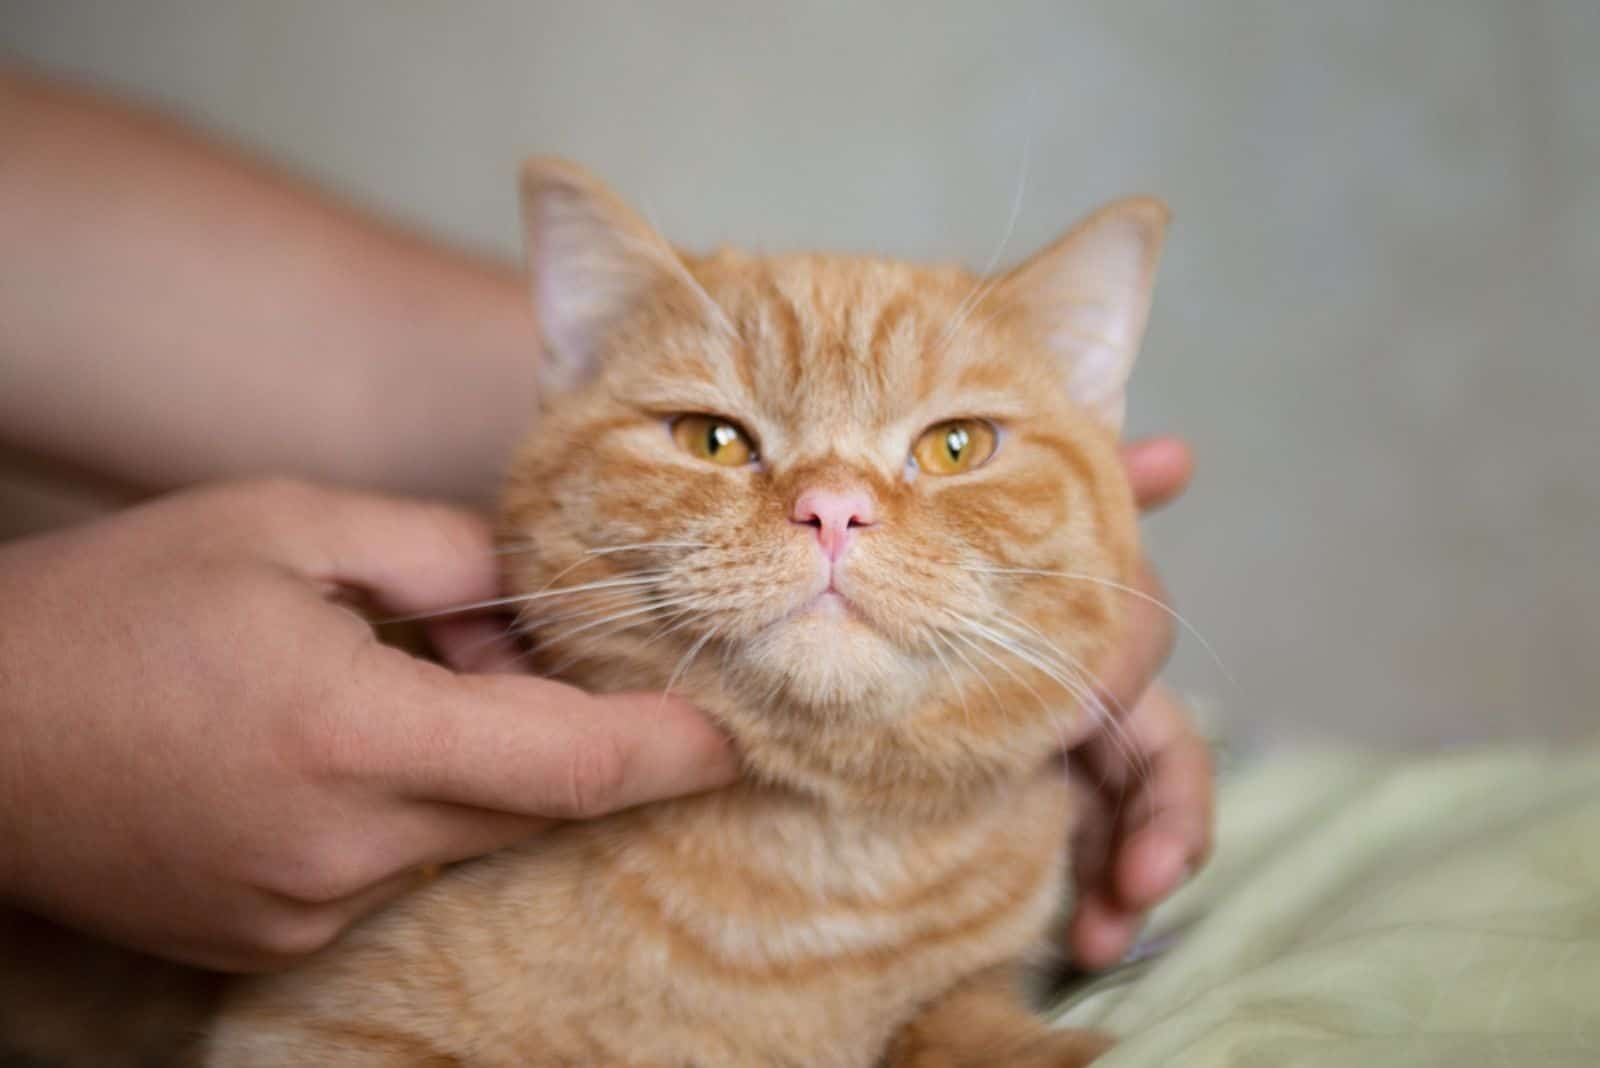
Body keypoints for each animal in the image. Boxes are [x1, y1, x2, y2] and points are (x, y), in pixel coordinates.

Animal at [206, 160, 1171, 1068]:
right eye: (712, 439)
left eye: (956, 446)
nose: (832, 509)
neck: (819, 888)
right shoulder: (315, 1035)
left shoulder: (978, 979)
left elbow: (973, 1021)